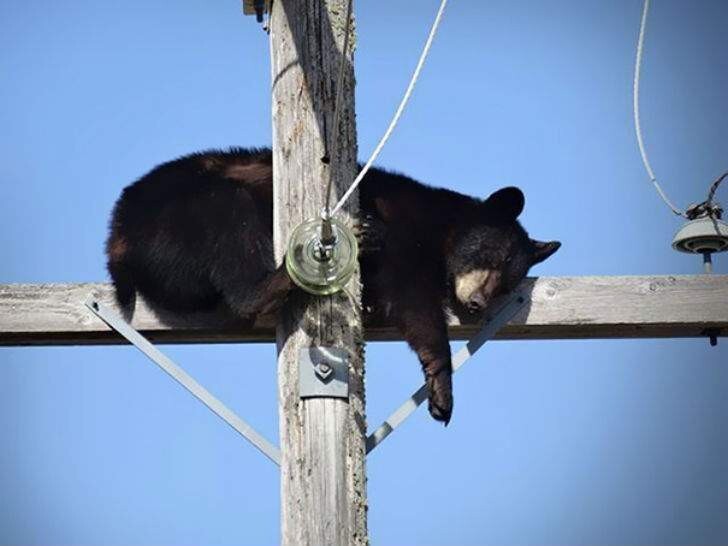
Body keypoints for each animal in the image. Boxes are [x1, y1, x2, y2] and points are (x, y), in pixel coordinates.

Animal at [105, 147, 560, 422]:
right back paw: (284, 275)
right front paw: (441, 387)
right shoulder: (405, 239)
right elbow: (415, 305)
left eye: (508, 281)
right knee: (230, 220)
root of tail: (117, 237)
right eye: (492, 257)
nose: (480, 302)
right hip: (181, 218)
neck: (437, 231)